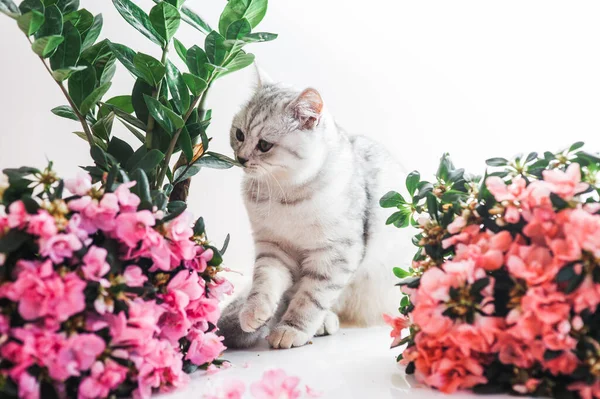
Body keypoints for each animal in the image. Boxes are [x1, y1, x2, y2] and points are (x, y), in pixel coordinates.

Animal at [218, 72, 414, 350]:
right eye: (239, 134)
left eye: (265, 145)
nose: (241, 158)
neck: (285, 196)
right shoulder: (273, 248)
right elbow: (264, 283)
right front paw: (255, 312)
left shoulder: (335, 253)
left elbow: (310, 298)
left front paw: (291, 329)